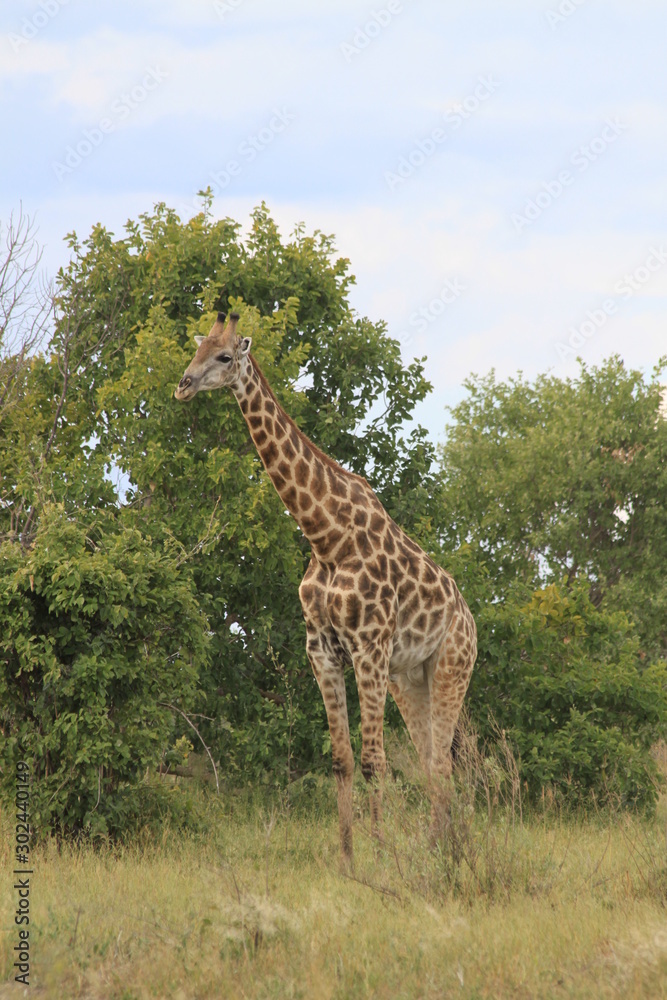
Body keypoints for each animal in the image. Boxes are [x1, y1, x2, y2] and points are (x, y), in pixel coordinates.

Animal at [175, 311, 477, 865]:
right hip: (411, 678)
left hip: (451, 666)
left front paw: (381, 857)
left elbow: (375, 760)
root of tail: (468, 617)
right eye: (197, 349)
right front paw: (347, 857)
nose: (183, 385)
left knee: (441, 761)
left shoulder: (369, 647)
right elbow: (341, 759)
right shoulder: (322, 650)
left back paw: (445, 853)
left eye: (224, 356)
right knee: (430, 759)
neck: (326, 537)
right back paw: (439, 846)